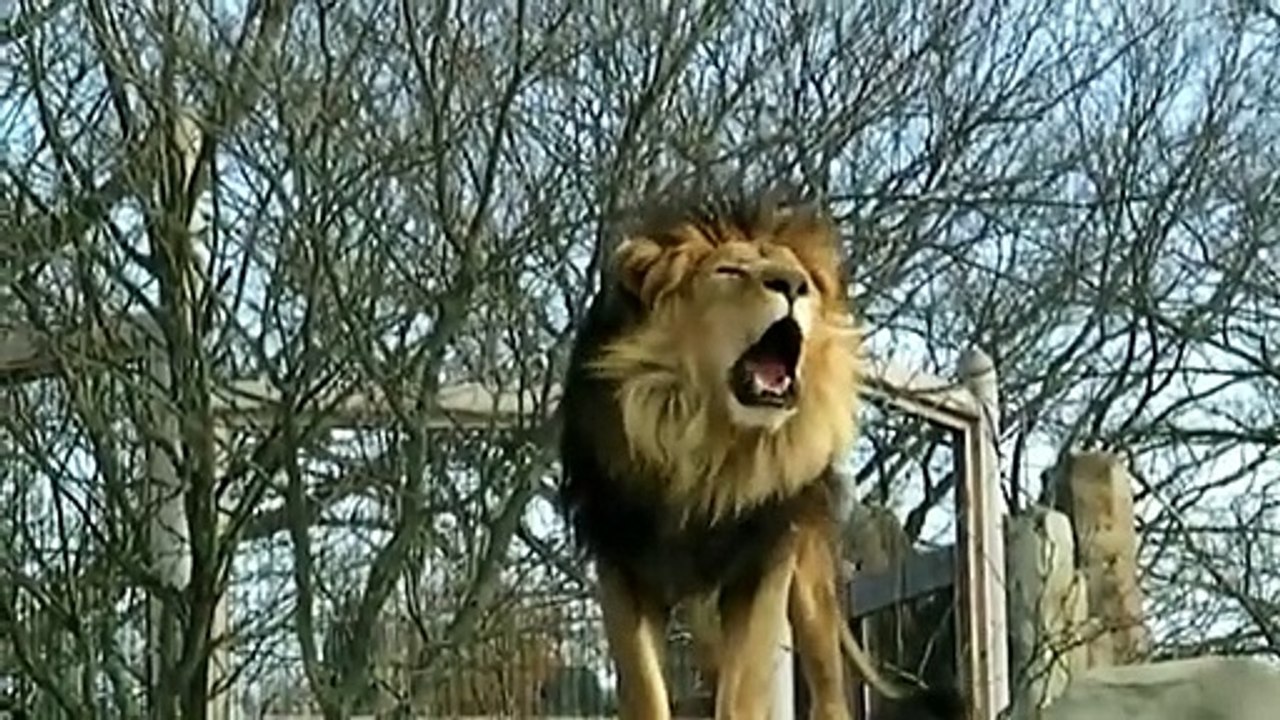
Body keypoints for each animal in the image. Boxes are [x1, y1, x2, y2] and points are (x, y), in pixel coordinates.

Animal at [557, 185, 963, 720]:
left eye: (804, 279)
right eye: (728, 271)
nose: (792, 285)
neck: (708, 448)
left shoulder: (763, 561)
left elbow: (743, 688)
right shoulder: (622, 561)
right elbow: (645, 688)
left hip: (809, 574)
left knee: (827, 687)